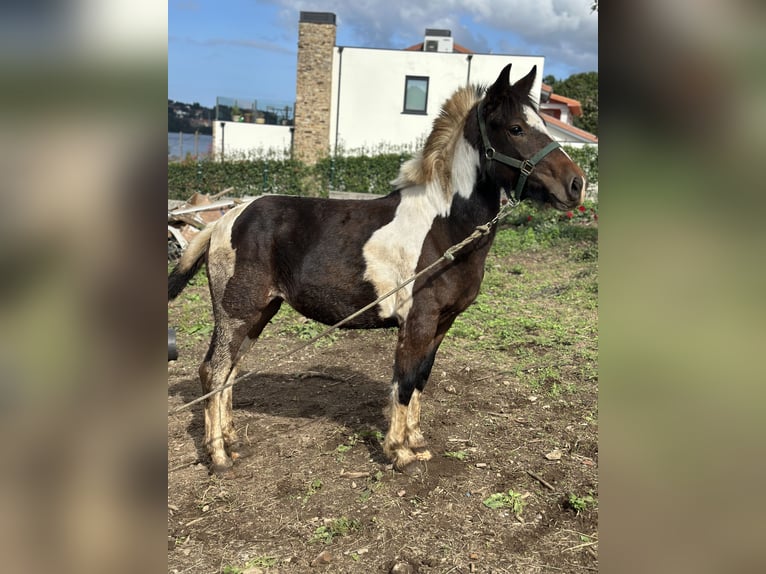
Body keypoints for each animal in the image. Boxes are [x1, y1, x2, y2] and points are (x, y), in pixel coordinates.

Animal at [168, 64, 586, 475]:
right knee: (214, 372)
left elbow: (421, 378)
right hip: (236, 312)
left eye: (543, 124)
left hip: (259, 312)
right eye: (515, 128)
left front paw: (416, 441)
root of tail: (225, 221)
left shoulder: (442, 322)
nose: (576, 184)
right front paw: (399, 453)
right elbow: (404, 382)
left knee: (230, 373)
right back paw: (218, 457)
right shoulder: (418, 322)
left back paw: (232, 441)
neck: (444, 227)